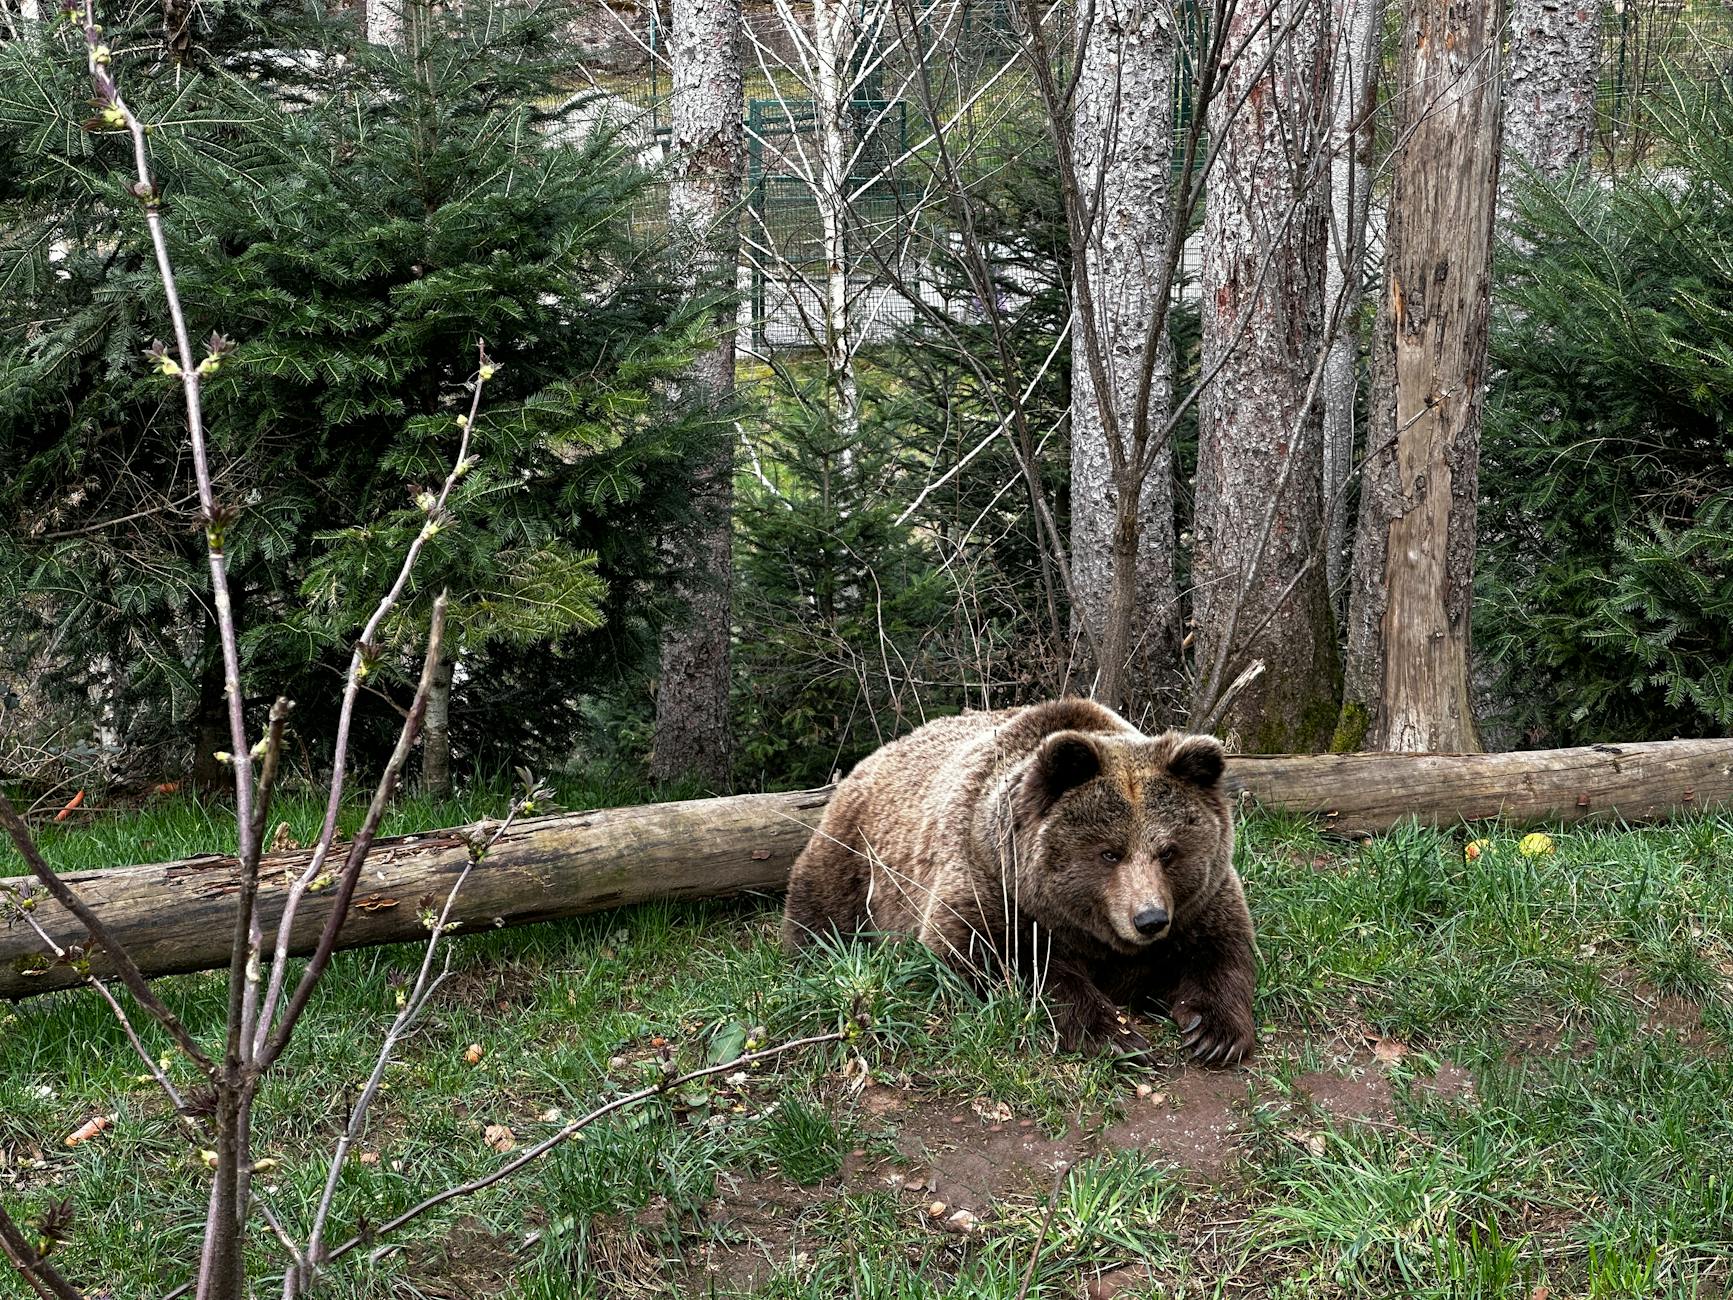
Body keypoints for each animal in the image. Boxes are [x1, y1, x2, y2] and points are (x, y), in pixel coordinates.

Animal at [780, 698, 1255, 1063]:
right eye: (1110, 852)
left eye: (1169, 851)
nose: (1150, 919)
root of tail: (875, 756)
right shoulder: (990, 883)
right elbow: (994, 960)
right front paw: (1114, 1034)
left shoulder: (1202, 902)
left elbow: (1222, 950)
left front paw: (1214, 1033)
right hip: (856, 854)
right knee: (821, 908)